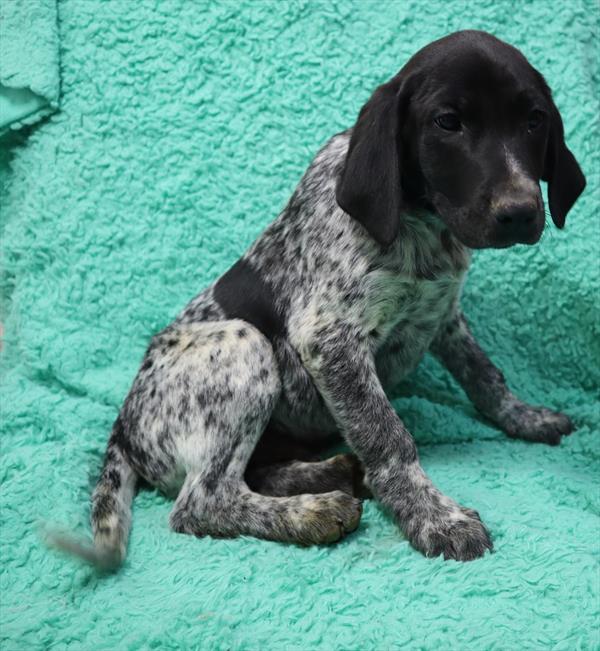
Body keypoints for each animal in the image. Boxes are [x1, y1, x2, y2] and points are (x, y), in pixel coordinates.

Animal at [54, 31, 584, 572]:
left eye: (534, 120)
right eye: (448, 123)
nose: (520, 212)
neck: (421, 223)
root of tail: (122, 430)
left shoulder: (444, 316)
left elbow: (485, 375)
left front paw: (524, 417)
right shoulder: (331, 341)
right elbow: (388, 437)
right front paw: (435, 517)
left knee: (253, 474)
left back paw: (332, 475)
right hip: (245, 345)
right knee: (202, 500)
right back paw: (312, 512)